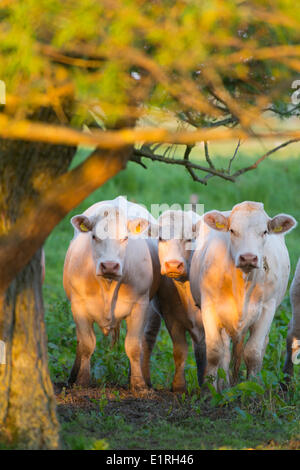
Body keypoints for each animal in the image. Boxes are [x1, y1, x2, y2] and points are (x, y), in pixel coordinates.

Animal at [63, 196, 162, 392]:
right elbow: (86, 344)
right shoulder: (78, 306)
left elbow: (133, 346)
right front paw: (82, 381)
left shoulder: (140, 306)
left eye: (125, 238)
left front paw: (138, 384)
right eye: (94, 236)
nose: (109, 266)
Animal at [142, 211, 206, 392]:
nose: (173, 265)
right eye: (161, 238)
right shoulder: (171, 318)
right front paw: (179, 386)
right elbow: (180, 350)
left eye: (189, 238)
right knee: (147, 340)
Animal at [190, 201, 296, 390]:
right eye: (232, 230)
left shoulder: (267, 308)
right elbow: (215, 352)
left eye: (264, 231)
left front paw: (252, 388)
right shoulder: (209, 306)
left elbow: (253, 352)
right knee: (225, 352)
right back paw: (224, 384)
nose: (248, 257)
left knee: (260, 346)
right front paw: (209, 390)